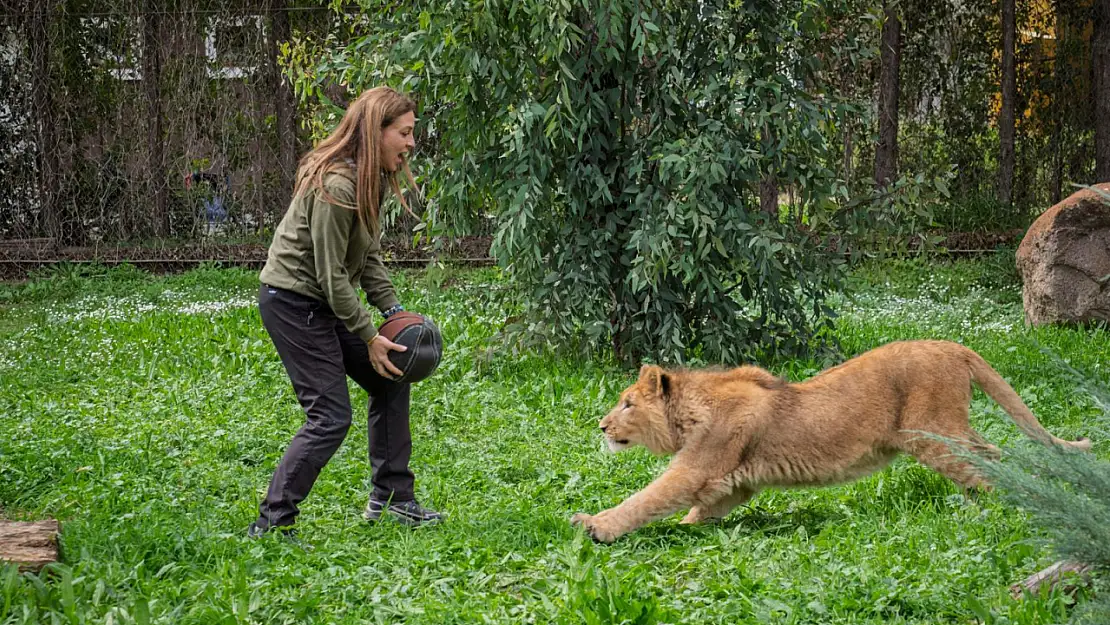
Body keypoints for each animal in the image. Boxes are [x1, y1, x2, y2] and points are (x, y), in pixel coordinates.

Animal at [572, 339, 1092, 539]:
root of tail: (950, 345)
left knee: (985, 463)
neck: (691, 411)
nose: (601, 427)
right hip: (949, 429)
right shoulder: (734, 483)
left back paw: (998, 511)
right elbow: (699, 513)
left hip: (932, 433)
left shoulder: (698, 468)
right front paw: (686, 529)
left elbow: (647, 498)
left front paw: (594, 525)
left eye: (626, 403)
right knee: (992, 452)